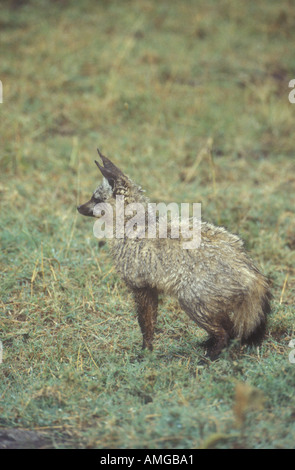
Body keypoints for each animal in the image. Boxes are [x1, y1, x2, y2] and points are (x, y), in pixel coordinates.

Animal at [77, 151, 272, 360]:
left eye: (96, 199)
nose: (78, 207)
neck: (135, 227)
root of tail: (250, 268)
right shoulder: (150, 289)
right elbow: (150, 324)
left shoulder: (141, 289)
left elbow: (145, 326)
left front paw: (144, 354)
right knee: (232, 332)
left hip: (191, 304)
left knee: (225, 333)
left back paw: (208, 358)